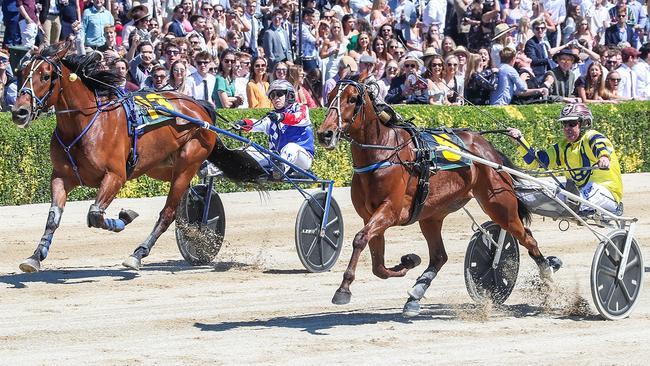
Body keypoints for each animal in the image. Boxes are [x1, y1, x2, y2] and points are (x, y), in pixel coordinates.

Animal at [10, 42, 248, 272]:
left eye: (46, 75)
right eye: (23, 72)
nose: (19, 112)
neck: (86, 126)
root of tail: (201, 108)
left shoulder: (115, 176)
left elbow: (95, 215)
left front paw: (125, 216)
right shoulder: (61, 177)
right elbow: (53, 217)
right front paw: (35, 257)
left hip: (188, 162)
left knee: (168, 213)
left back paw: (139, 253)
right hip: (162, 167)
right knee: (191, 197)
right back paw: (195, 224)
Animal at [316, 76, 560, 316]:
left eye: (352, 99)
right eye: (330, 96)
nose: (325, 133)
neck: (384, 153)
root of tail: (489, 150)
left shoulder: (389, 212)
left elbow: (359, 239)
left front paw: (343, 289)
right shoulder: (370, 216)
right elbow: (377, 266)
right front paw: (408, 261)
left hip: (500, 206)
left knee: (528, 238)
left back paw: (548, 277)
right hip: (431, 214)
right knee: (440, 256)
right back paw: (414, 296)